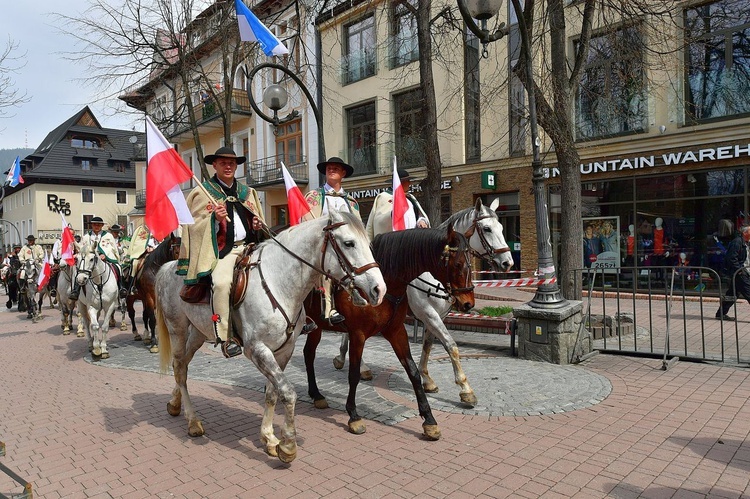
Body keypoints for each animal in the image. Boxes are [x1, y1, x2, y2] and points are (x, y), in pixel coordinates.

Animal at [156, 212, 384, 464]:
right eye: (348, 243)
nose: (379, 289)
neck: (279, 283)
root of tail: (168, 267)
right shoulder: (258, 349)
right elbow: (288, 392)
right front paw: (288, 444)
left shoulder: (283, 350)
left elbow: (273, 393)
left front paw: (269, 438)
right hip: (177, 329)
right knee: (180, 368)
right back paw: (193, 421)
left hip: (198, 333)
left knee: (183, 366)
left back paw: (175, 404)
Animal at [302, 227, 472, 442]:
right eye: (457, 264)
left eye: (470, 262)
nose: (468, 302)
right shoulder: (358, 334)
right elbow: (353, 374)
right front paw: (354, 416)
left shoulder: (396, 331)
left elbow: (413, 372)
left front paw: (429, 420)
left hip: (315, 327)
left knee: (308, 354)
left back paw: (316, 395)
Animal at [338, 198, 516, 406]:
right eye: (487, 228)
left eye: (501, 227)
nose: (507, 262)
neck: (429, 270)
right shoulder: (428, 313)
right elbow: (451, 345)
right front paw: (465, 389)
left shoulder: (438, 315)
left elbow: (428, 345)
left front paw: (427, 379)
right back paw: (361, 367)